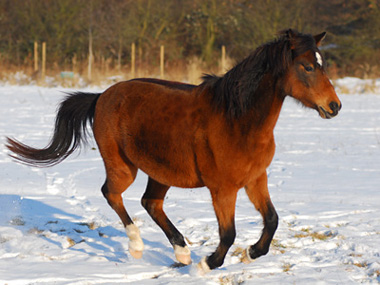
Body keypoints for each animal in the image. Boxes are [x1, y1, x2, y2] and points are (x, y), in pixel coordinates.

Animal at [5, 29, 342, 272]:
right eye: (307, 67)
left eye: (322, 65)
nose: (334, 106)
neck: (237, 120)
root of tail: (101, 96)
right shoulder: (222, 188)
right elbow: (228, 233)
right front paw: (208, 265)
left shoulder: (255, 179)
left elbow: (271, 219)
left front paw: (251, 254)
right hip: (123, 166)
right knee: (112, 193)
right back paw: (139, 246)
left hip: (160, 171)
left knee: (150, 202)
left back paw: (181, 253)